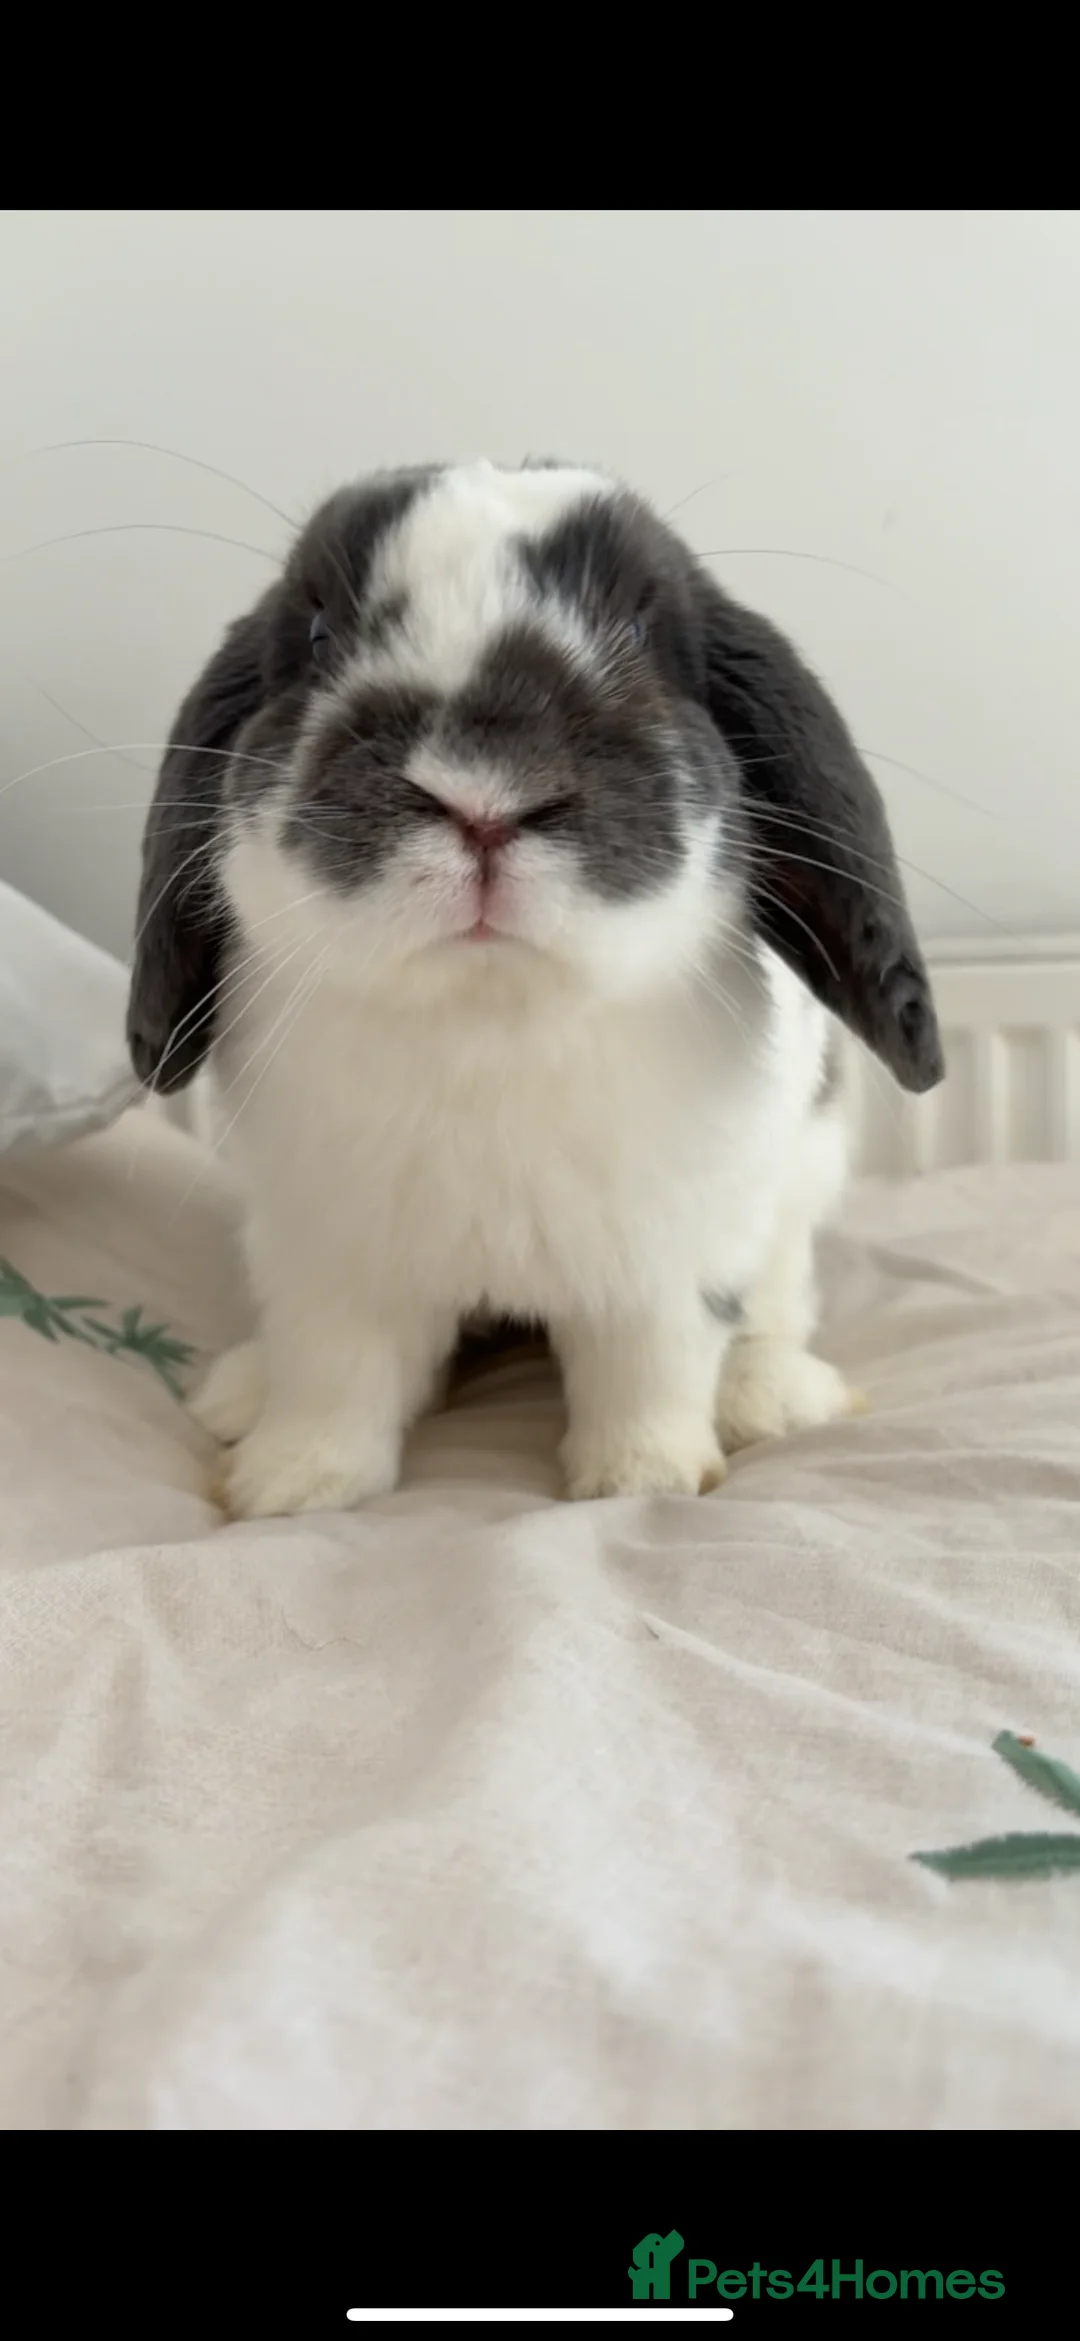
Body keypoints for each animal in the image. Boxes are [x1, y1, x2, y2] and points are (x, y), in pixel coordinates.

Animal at [127, 459, 942, 1518]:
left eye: (637, 630)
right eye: (316, 638)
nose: (481, 794)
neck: (492, 1010)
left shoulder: (668, 1257)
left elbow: (650, 1364)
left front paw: (642, 1476)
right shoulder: (330, 1257)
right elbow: (335, 1374)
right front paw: (295, 1484)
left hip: (799, 1183)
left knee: (776, 1301)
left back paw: (770, 1399)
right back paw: (240, 1392)